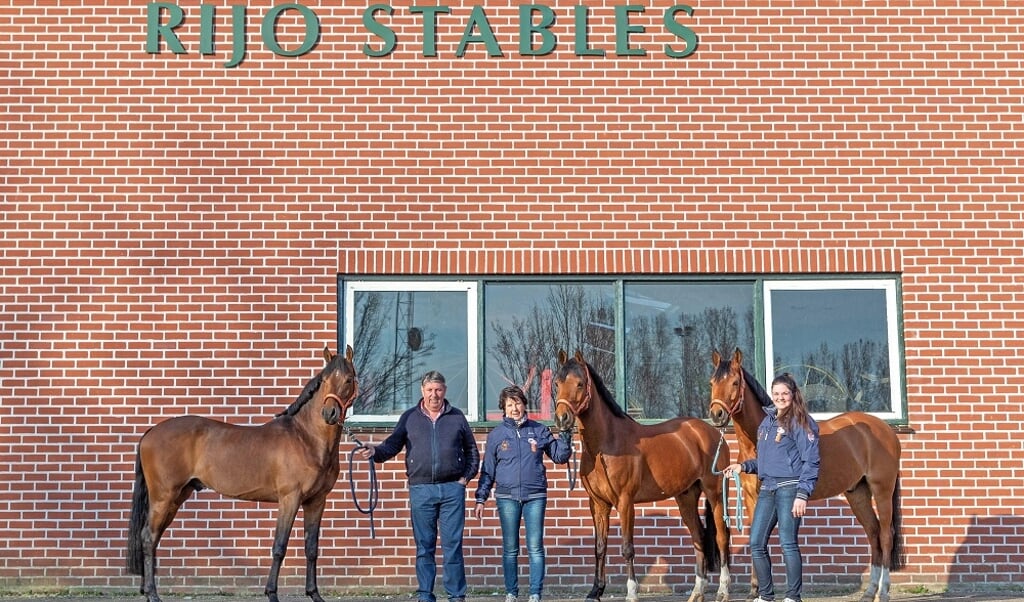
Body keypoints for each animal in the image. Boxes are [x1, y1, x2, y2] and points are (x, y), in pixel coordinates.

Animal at [128, 346, 360, 602]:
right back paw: (152, 594)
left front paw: (314, 594)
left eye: (348, 380)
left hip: (176, 497)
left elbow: (311, 548)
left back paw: (147, 591)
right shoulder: (290, 499)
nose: (329, 413)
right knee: (148, 537)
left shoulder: (316, 501)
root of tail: (151, 432)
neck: (305, 438)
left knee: (153, 538)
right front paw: (272, 594)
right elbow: (279, 546)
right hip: (163, 497)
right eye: (324, 380)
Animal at [557, 348, 733, 602]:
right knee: (699, 537)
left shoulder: (625, 502)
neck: (606, 444)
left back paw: (723, 590)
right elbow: (599, 547)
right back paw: (697, 593)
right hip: (686, 497)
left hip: (715, 493)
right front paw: (595, 591)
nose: (562, 418)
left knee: (721, 536)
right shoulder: (598, 504)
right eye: (557, 383)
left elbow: (627, 548)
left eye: (580, 384)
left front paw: (632, 592)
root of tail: (712, 432)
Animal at [708, 348, 909, 602]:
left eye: (735, 382)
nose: (716, 414)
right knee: (873, 533)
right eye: (712, 382)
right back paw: (869, 592)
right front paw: (755, 591)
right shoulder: (754, 498)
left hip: (882, 490)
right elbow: (756, 538)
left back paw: (883, 591)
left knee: (885, 535)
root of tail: (885, 431)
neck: (756, 443)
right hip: (858, 493)